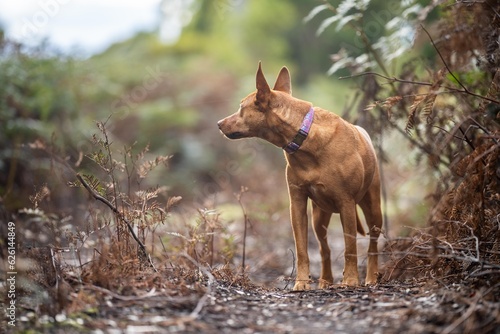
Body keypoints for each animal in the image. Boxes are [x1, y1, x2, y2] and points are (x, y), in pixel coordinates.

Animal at [216, 62, 382, 290]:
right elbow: (302, 249)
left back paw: (371, 277)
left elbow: (350, 247)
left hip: (373, 210)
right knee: (324, 248)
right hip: (319, 217)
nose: (218, 123)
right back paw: (325, 281)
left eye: (241, 108)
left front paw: (350, 280)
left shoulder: (346, 203)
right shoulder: (297, 204)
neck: (305, 137)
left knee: (373, 244)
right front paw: (301, 283)